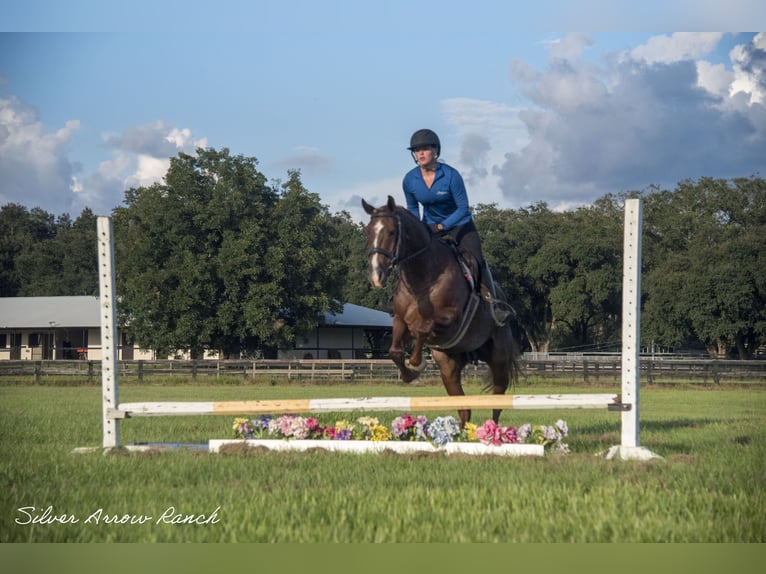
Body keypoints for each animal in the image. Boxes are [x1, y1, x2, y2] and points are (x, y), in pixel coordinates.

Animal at [362, 196, 520, 426]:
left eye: (391, 232)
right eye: (368, 232)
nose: (376, 275)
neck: (422, 280)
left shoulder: (452, 318)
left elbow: (423, 328)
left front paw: (416, 364)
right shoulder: (400, 320)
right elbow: (395, 351)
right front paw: (409, 374)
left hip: (499, 359)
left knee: (497, 403)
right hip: (449, 366)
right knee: (465, 409)